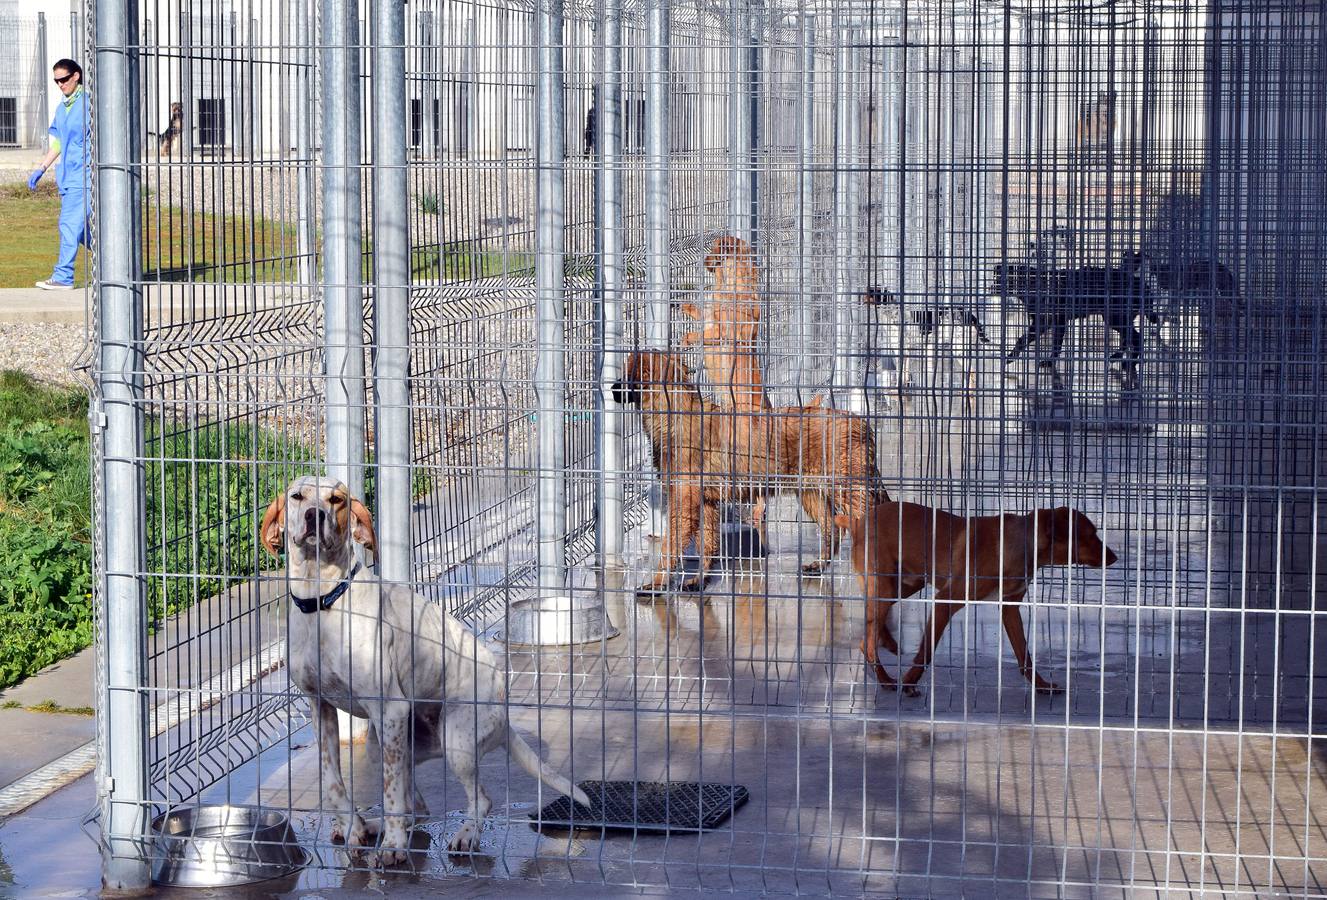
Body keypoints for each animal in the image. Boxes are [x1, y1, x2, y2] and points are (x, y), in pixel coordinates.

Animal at [260, 480, 591, 865]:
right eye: (297, 497)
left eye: (336, 500)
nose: (315, 515)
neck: (324, 601)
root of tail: (504, 709)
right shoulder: (321, 708)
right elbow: (333, 781)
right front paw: (354, 827)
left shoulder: (390, 708)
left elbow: (390, 794)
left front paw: (392, 848)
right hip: (383, 743)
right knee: (416, 807)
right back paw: (375, 826)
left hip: (452, 739)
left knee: (476, 800)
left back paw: (461, 836)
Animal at [613, 347, 891, 592]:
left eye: (627, 374)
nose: (613, 389)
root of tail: (862, 424)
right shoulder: (706, 503)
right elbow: (707, 545)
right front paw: (699, 581)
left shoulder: (684, 503)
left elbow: (669, 547)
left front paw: (657, 583)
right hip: (812, 493)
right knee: (832, 528)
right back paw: (818, 566)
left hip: (849, 490)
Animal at [838, 504, 1119, 695]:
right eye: (1090, 534)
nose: (1115, 557)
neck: (1023, 545)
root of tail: (859, 521)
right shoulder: (944, 600)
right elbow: (926, 652)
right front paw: (909, 683)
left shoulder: (1010, 608)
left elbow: (1025, 657)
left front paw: (1041, 686)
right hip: (886, 585)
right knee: (867, 639)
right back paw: (886, 679)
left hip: (904, 586)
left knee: (869, 632)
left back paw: (886, 649)